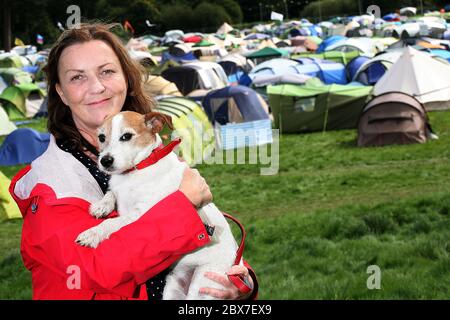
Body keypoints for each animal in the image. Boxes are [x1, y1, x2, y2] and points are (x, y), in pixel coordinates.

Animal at [75, 110, 241, 300]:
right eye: (101, 137)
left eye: (126, 136)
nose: (105, 161)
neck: (135, 171)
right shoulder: (119, 191)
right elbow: (111, 193)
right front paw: (101, 206)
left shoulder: (142, 213)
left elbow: (112, 222)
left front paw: (93, 233)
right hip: (172, 289)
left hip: (203, 285)